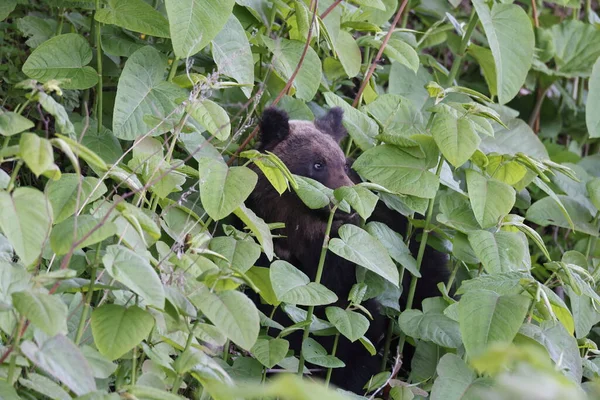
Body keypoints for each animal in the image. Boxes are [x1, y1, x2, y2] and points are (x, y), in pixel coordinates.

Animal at [245, 107, 450, 394]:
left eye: (342, 164)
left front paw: (347, 377)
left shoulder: (349, 264)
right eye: (317, 164)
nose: (350, 204)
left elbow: (357, 329)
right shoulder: (264, 245)